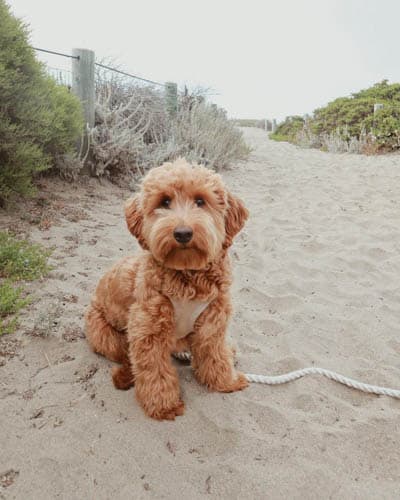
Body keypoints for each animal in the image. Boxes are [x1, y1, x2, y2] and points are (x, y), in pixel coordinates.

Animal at [85, 158, 248, 420]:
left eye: (200, 201)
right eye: (164, 202)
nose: (182, 233)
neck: (187, 274)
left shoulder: (213, 321)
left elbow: (215, 354)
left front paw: (226, 382)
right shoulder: (148, 328)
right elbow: (155, 369)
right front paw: (163, 405)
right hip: (106, 335)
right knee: (127, 358)